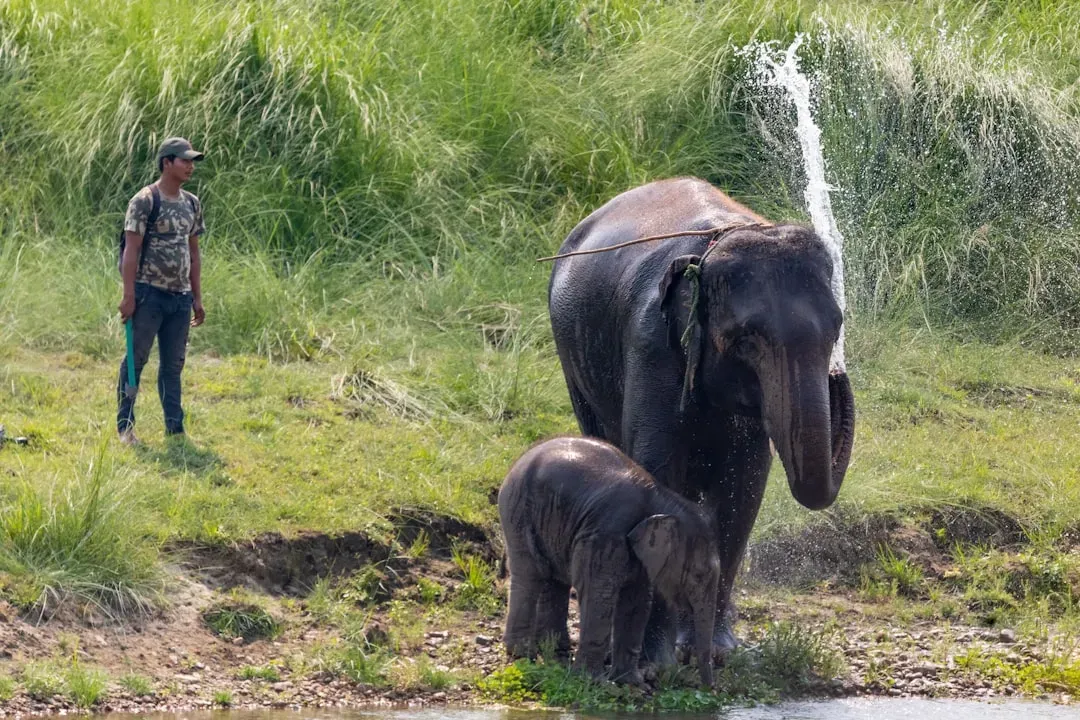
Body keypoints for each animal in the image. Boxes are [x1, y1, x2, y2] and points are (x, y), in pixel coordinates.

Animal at [498, 436, 721, 687]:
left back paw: (555, 650)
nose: (709, 688)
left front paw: (631, 682)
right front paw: (595, 682)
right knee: (530, 573)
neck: (660, 499)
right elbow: (599, 593)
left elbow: (637, 601)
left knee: (553, 579)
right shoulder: (606, 532)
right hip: (517, 507)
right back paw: (523, 653)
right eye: (698, 575)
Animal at [547, 176, 855, 664]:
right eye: (745, 340)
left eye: (835, 331)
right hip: (572, 361)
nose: (838, 375)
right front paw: (654, 662)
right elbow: (658, 474)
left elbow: (744, 487)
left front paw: (715, 652)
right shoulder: (651, 345)